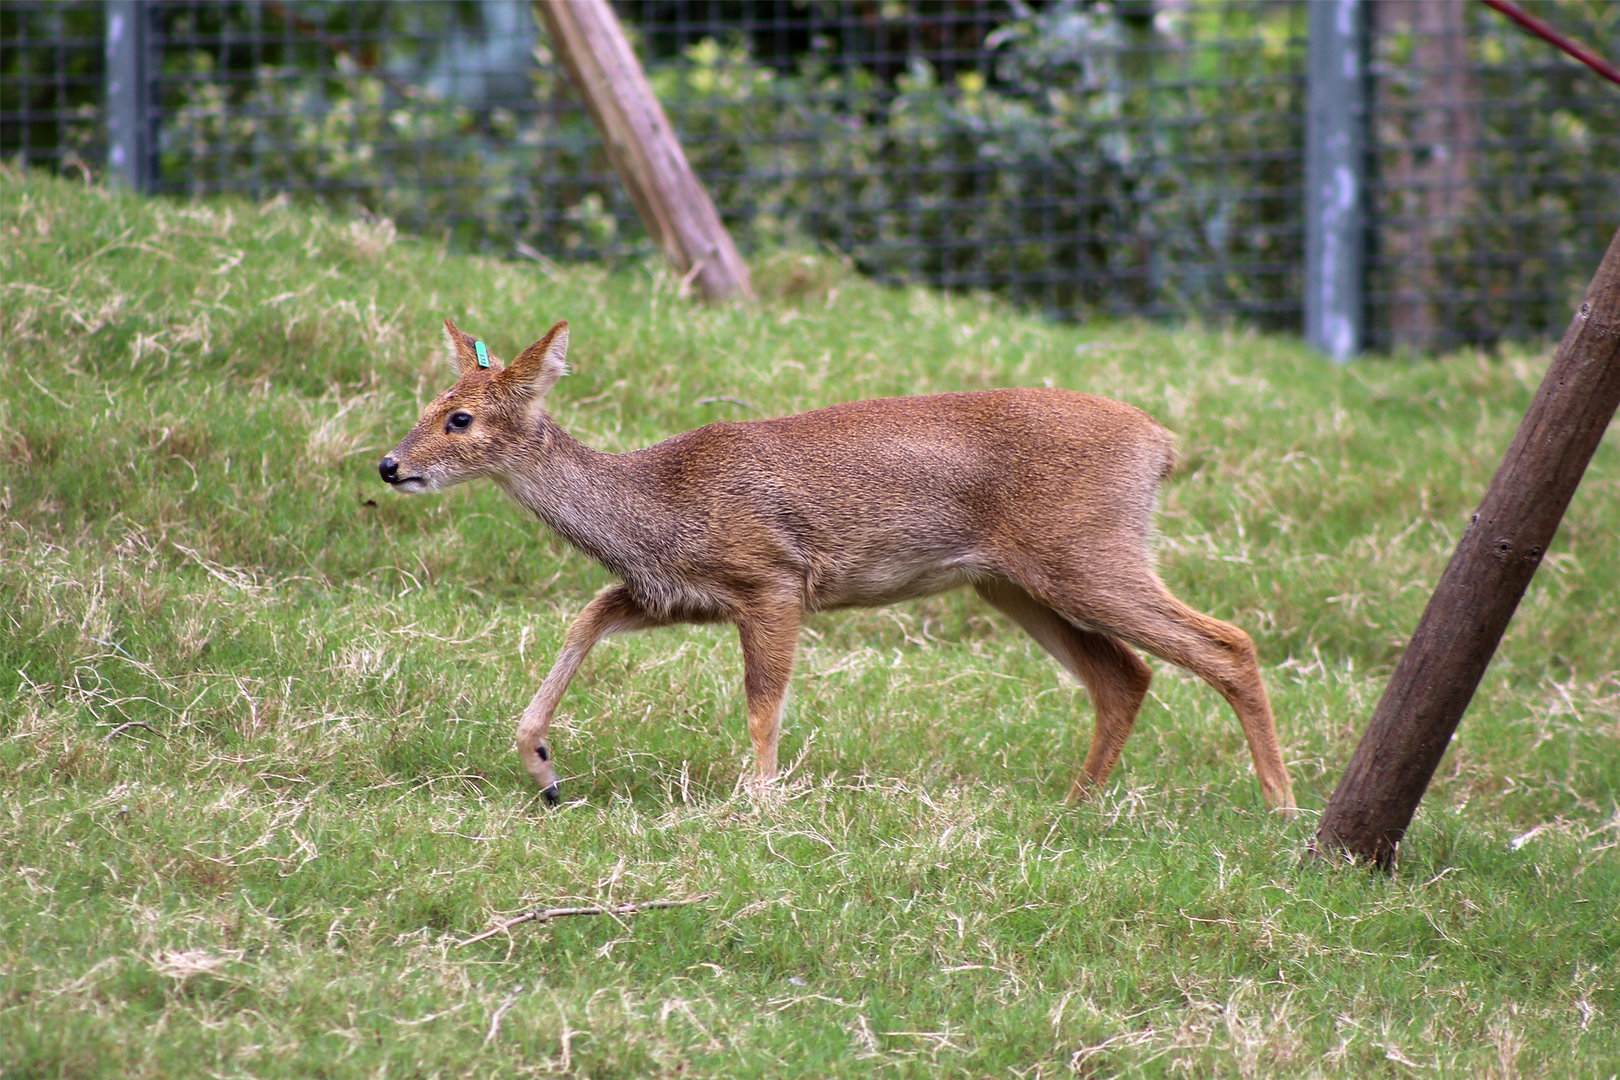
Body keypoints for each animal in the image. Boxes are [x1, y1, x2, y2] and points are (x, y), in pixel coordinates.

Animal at [380, 319, 1296, 814]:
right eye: (426, 406)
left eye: (460, 419)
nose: (390, 466)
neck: (656, 501)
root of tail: (1162, 445)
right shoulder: (677, 592)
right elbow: (590, 613)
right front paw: (542, 768)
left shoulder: (772, 577)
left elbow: (763, 701)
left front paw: (756, 805)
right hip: (1016, 581)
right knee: (1125, 675)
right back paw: (1075, 806)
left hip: (1087, 552)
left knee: (1227, 642)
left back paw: (1282, 808)